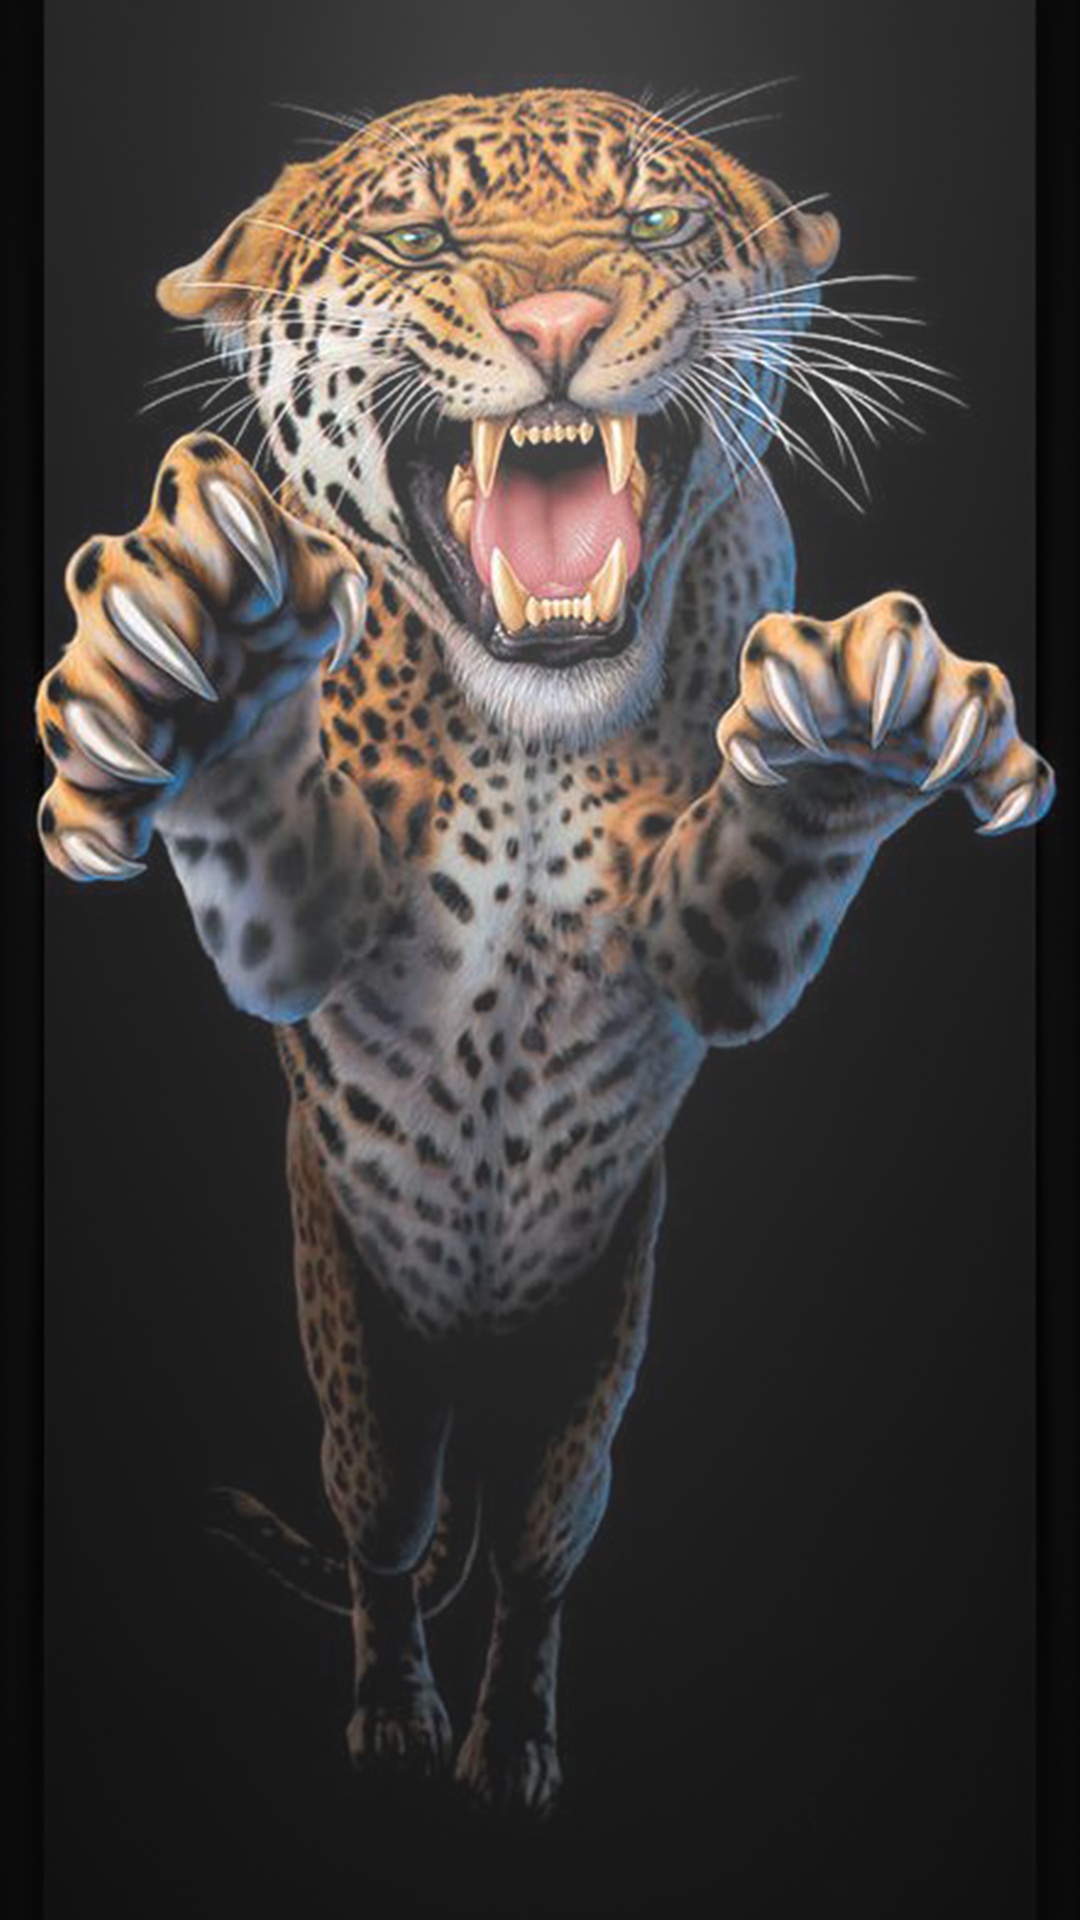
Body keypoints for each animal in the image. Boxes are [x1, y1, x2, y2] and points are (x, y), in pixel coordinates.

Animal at [35, 86, 1054, 1815]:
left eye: (657, 225)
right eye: (418, 234)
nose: (559, 322)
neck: (532, 735)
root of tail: (472, 1353)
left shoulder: (713, 948)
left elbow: (763, 879)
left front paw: (862, 721)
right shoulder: (309, 926)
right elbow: (260, 843)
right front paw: (204, 660)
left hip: (592, 1374)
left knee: (533, 1559)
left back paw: (511, 1743)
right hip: (359, 1368)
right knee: (386, 1547)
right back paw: (393, 1718)